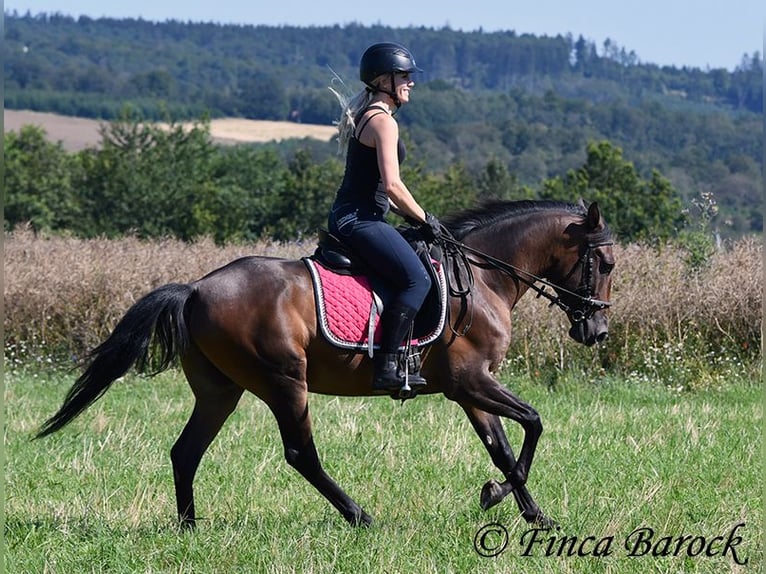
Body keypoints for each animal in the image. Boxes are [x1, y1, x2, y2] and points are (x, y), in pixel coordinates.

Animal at [36, 199, 616, 532]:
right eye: (606, 264)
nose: (598, 331)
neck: (483, 276)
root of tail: (196, 288)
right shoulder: (470, 381)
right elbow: (533, 424)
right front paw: (497, 497)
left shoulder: (471, 389)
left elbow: (503, 447)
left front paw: (529, 512)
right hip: (284, 381)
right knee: (300, 454)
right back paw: (361, 516)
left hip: (221, 391)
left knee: (186, 451)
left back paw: (189, 528)